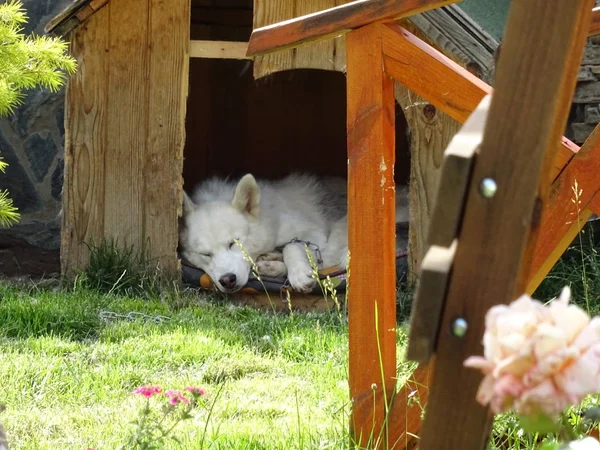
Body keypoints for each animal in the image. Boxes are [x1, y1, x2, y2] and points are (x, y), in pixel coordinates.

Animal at [180, 171, 410, 292]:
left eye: (233, 243)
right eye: (205, 254)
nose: (228, 280)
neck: (268, 219)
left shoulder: (313, 233)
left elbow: (293, 247)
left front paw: (299, 273)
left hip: (342, 227)